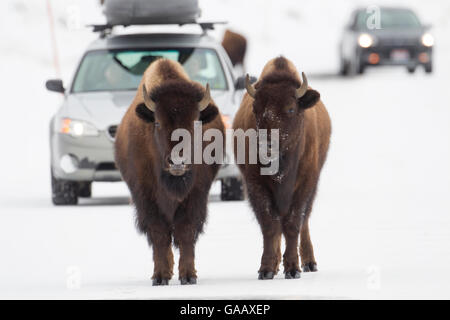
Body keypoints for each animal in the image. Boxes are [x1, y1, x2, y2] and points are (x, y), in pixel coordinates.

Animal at [115, 58, 225, 286]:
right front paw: (160, 276)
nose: (177, 161)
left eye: (195, 121)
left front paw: (188, 276)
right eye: (158, 122)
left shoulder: (196, 196)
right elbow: (159, 234)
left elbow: (186, 232)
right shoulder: (146, 198)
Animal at [232, 57, 330, 280]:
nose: (266, 145)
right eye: (255, 109)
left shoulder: (304, 185)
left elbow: (293, 224)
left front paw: (293, 268)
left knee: (304, 222)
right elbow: (270, 225)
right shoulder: (255, 185)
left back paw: (309, 263)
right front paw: (267, 268)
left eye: (291, 108)